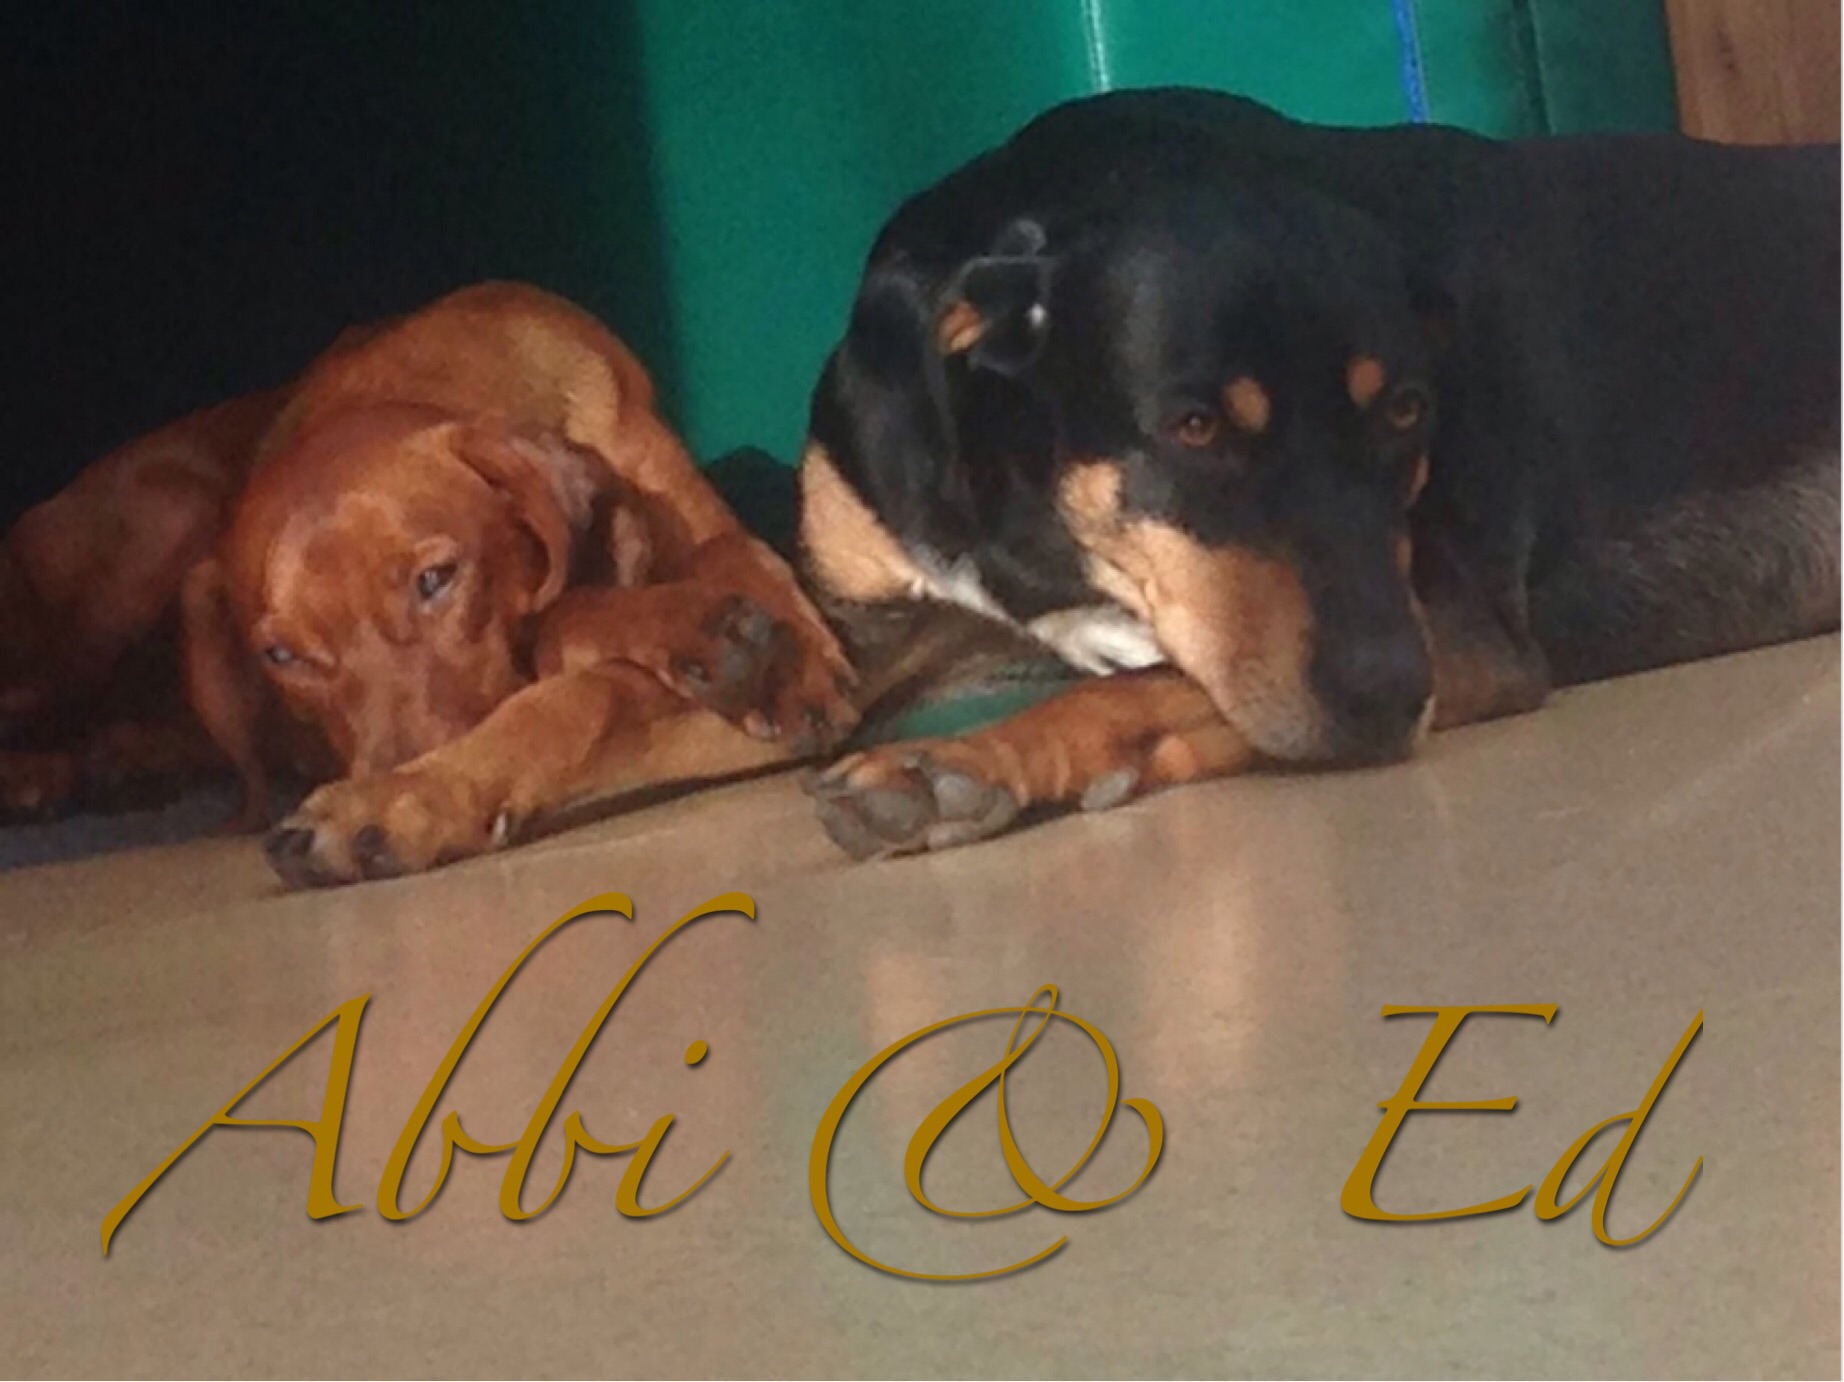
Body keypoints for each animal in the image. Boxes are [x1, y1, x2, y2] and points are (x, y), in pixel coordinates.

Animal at [5, 283, 856, 884]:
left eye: (436, 579)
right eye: (283, 657)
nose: (403, 768)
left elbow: (730, 559)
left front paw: (779, 653)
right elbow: (571, 639)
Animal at [796, 88, 1840, 859]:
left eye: (1409, 411)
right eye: (1195, 427)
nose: (1393, 695)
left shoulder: (1463, 627)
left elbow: (1157, 682)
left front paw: (965, 760)